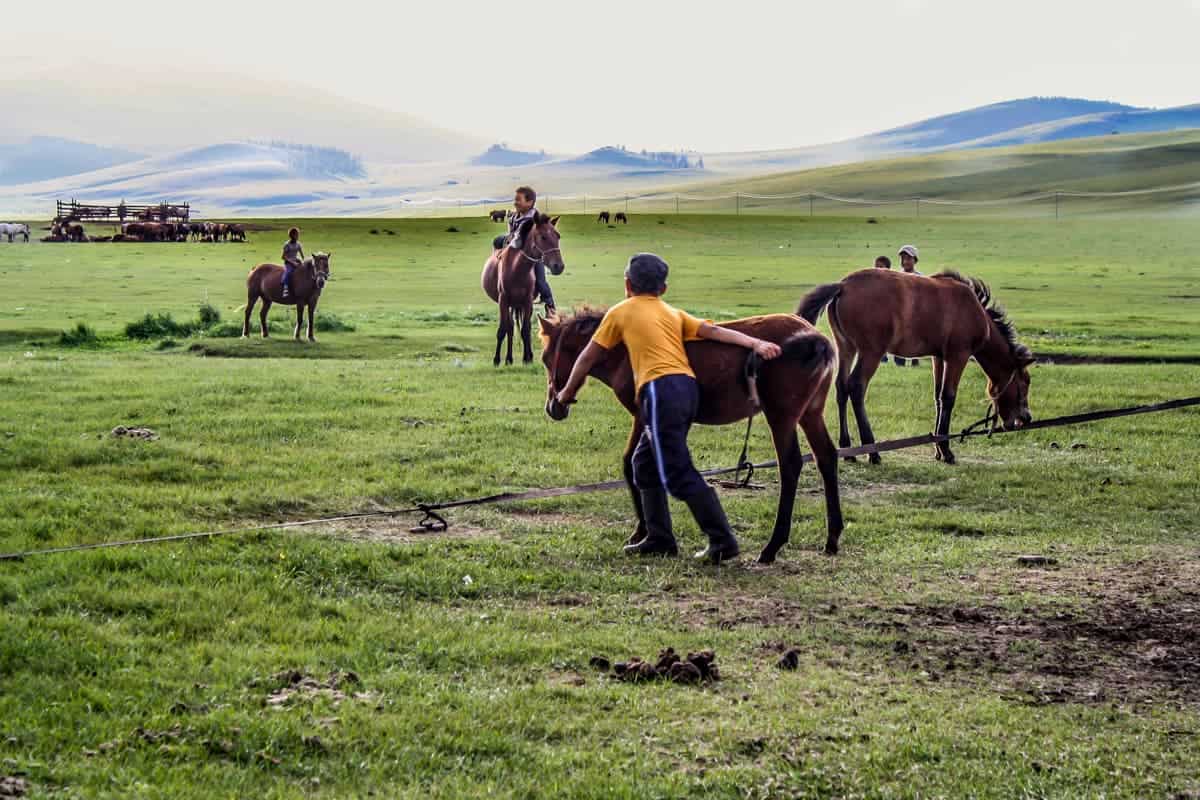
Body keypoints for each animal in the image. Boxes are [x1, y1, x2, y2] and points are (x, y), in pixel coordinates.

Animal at [480, 211, 564, 364]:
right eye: (543, 236)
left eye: (558, 236)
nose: (559, 266)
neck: (517, 268)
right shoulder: (503, 301)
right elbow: (503, 330)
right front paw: (496, 359)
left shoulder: (527, 301)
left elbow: (525, 330)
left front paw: (527, 359)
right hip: (511, 304)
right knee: (510, 328)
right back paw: (508, 359)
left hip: (521, 304)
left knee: (523, 327)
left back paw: (524, 356)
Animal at [544, 309, 844, 563]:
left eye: (547, 357)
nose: (554, 406)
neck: (624, 352)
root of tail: (815, 339)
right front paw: (649, 534)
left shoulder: (642, 416)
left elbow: (631, 466)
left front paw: (641, 532)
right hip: (810, 414)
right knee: (826, 457)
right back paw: (832, 538)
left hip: (781, 417)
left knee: (791, 465)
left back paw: (772, 546)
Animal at [796, 268, 1032, 462]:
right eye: (1024, 383)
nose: (1026, 418)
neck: (975, 312)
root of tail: (843, 286)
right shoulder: (958, 355)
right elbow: (948, 398)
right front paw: (946, 450)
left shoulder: (939, 357)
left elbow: (938, 397)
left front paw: (937, 448)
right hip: (871, 352)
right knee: (856, 386)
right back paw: (872, 450)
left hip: (846, 347)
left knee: (841, 387)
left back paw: (847, 449)